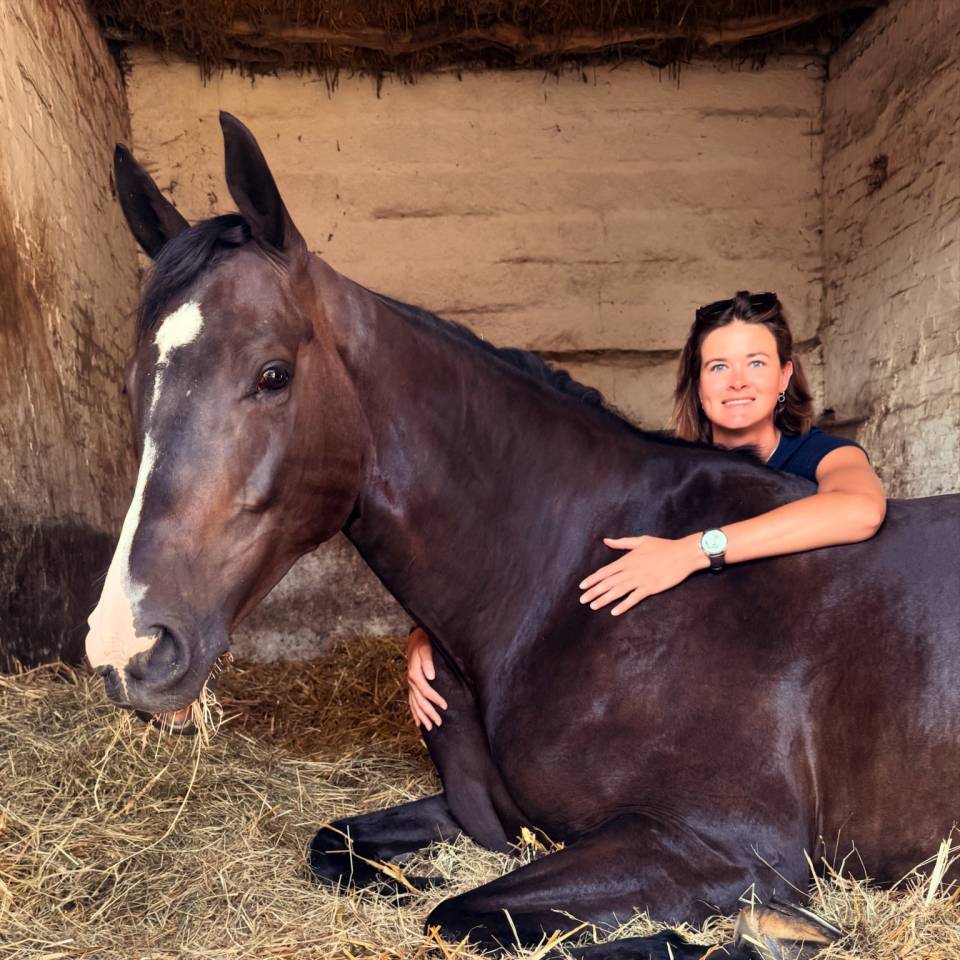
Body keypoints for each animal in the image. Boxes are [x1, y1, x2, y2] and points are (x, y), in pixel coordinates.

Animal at [85, 113, 960, 959]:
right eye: (130, 386)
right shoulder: (495, 818)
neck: (559, 589)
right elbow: (336, 843)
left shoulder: (722, 843)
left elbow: (460, 917)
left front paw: (779, 936)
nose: (127, 645)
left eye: (272, 374)